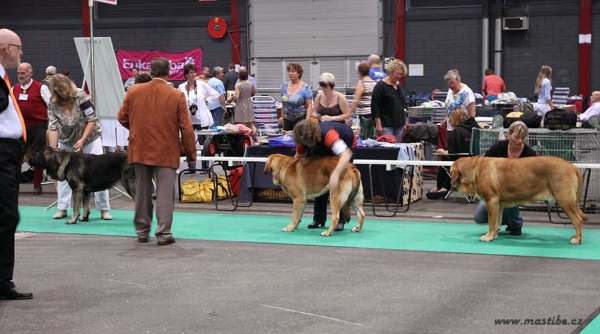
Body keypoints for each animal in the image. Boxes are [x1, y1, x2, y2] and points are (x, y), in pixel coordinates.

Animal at [452, 155, 588, 244]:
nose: (451, 185)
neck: (475, 168)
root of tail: (573, 167)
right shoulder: (498, 204)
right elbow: (497, 223)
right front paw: (494, 235)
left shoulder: (491, 201)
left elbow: (491, 222)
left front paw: (488, 237)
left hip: (564, 200)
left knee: (578, 220)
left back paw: (577, 239)